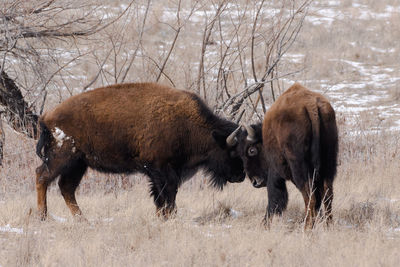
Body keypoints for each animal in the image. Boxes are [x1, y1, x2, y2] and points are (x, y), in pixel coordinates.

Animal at [36, 82, 245, 221]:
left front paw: (164, 216)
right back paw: (43, 216)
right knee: (42, 177)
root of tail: (46, 116)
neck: (188, 124)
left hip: (79, 164)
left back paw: (82, 220)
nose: (241, 176)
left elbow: (164, 195)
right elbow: (166, 194)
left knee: (66, 187)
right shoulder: (160, 169)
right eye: (232, 152)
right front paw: (169, 216)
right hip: (63, 157)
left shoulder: (165, 172)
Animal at [234, 84, 338, 230]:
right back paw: (327, 226)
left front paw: (265, 224)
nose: (255, 182)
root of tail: (311, 106)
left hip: (299, 169)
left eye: (251, 150)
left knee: (309, 196)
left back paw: (307, 228)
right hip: (329, 163)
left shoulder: (275, 171)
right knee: (327, 195)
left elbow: (274, 198)